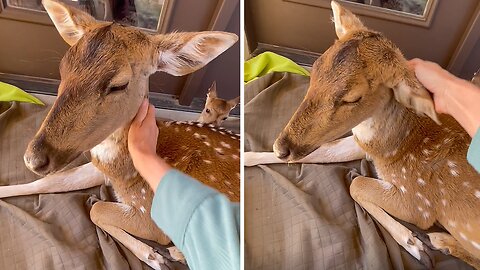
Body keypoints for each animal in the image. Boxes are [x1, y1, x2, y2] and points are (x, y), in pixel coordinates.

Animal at [0, 0, 240, 268]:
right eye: (62, 67)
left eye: (119, 84)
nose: (34, 158)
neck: (125, 174)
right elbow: (51, 182)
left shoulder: (150, 213)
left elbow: (97, 209)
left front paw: (152, 255)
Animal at [248, 1, 480, 268]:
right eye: (314, 69)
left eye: (352, 98)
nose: (281, 147)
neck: (393, 147)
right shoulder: (359, 144)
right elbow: (325, 154)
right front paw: (245, 157)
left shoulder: (420, 201)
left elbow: (356, 183)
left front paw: (413, 243)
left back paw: (437, 241)